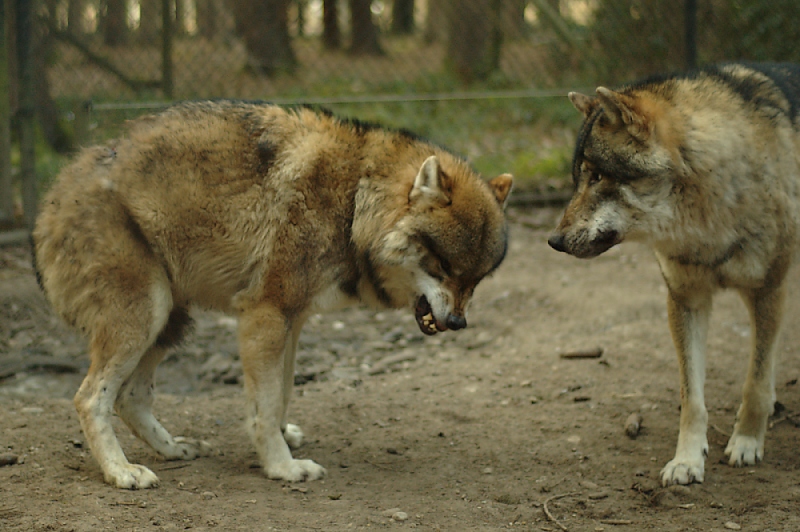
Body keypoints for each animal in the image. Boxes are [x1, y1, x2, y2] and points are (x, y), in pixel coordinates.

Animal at [32, 101, 512, 490]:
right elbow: (264, 405)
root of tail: (50, 198)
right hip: (145, 317)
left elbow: (282, 393)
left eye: (476, 280)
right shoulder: (265, 316)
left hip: (171, 320)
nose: (458, 323)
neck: (353, 200)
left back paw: (173, 450)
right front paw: (283, 467)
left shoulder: (293, 321)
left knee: (130, 397)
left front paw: (283, 441)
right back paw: (121, 473)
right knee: (90, 398)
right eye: (442, 268)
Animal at [548, 63, 800, 486]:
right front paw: (687, 460)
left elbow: (755, 382)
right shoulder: (685, 300)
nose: (553, 241)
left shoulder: (769, 290)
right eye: (577, 180)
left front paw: (747, 441)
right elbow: (692, 397)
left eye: (597, 177)